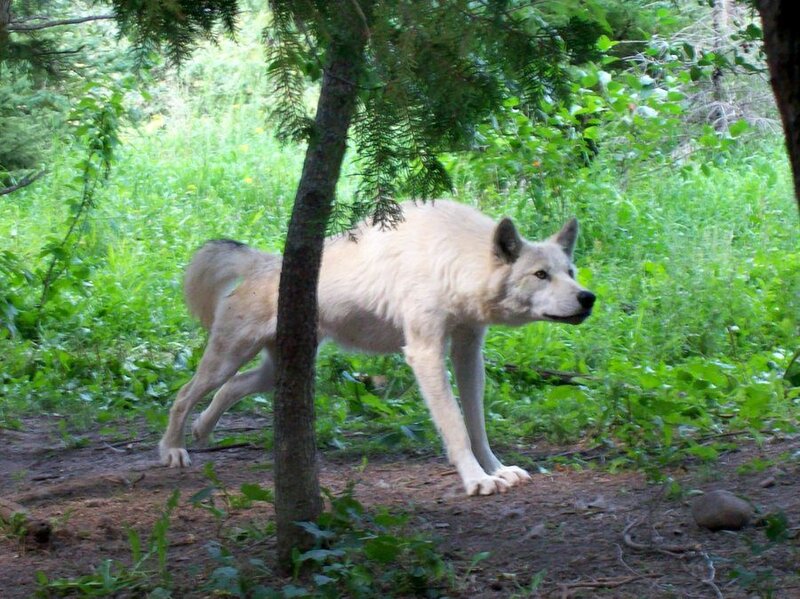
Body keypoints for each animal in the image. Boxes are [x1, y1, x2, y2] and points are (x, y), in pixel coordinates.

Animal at [159, 200, 595, 496]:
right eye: (540, 275)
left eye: (570, 272)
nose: (588, 298)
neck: (453, 261)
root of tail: (265, 261)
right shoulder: (425, 353)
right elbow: (456, 426)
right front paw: (476, 480)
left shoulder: (468, 353)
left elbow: (477, 425)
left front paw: (498, 470)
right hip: (229, 357)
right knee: (184, 394)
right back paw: (173, 450)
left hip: (271, 371)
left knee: (230, 389)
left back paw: (202, 431)